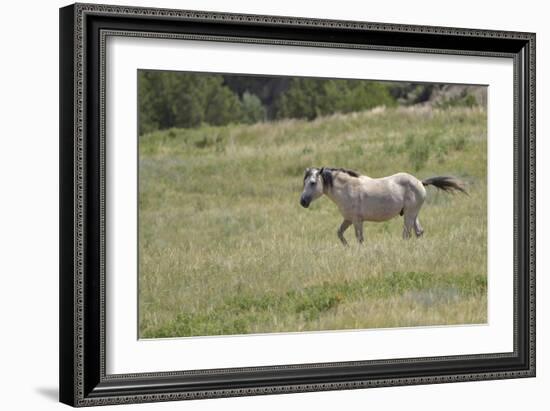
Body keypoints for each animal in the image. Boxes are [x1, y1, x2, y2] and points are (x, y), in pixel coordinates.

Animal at [300, 167, 468, 245]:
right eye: (304, 182)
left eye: (313, 183)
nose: (302, 202)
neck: (348, 188)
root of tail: (420, 182)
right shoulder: (348, 219)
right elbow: (339, 233)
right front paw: (347, 247)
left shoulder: (357, 220)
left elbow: (360, 238)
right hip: (413, 214)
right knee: (418, 232)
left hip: (409, 214)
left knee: (407, 234)